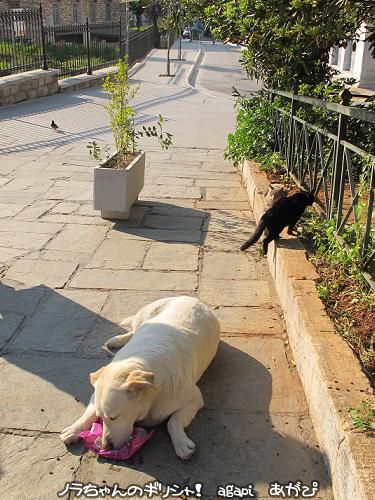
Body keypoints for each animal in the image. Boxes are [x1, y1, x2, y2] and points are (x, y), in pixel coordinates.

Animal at [59, 294, 220, 458]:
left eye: (114, 417)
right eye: (102, 418)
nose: (106, 446)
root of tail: (192, 298)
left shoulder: (195, 398)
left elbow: (173, 421)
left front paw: (181, 443)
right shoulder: (96, 394)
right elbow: (89, 412)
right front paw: (75, 429)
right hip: (143, 317)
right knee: (132, 330)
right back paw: (117, 340)